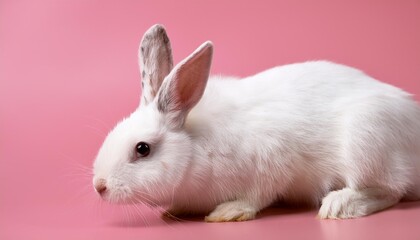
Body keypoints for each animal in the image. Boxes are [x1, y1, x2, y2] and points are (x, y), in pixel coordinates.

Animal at [92, 23, 420, 221]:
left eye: (143, 149)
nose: (99, 186)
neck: (195, 145)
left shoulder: (272, 162)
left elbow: (258, 196)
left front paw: (228, 212)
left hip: (365, 142)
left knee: (390, 191)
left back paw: (338, 205)